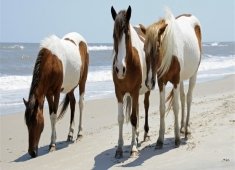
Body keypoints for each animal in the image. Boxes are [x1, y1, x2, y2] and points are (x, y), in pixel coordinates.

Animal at [111, 5, 151, 159]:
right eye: (113, 35)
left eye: (127, 35)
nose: (119, 69)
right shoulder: (119, 92)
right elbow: (121, 118)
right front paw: (119, 148)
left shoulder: (134, 91)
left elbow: (133, 118)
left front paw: (133, 148)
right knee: (138, 108)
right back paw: (138, 135)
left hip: (145, 89)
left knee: (145, 106)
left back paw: (145, 134)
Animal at [140, 8, 201, 149]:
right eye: (144, 49)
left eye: (158, 48)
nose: (149, 82)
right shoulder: (161, 82)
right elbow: (162, 109)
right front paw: (160, 140)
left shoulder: (176, 81)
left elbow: (175, 107)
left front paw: (177, 139)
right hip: (182, 78)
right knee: (183, 98)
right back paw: (182, 127)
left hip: (193, 74)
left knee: (188, 98)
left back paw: (187, 130)